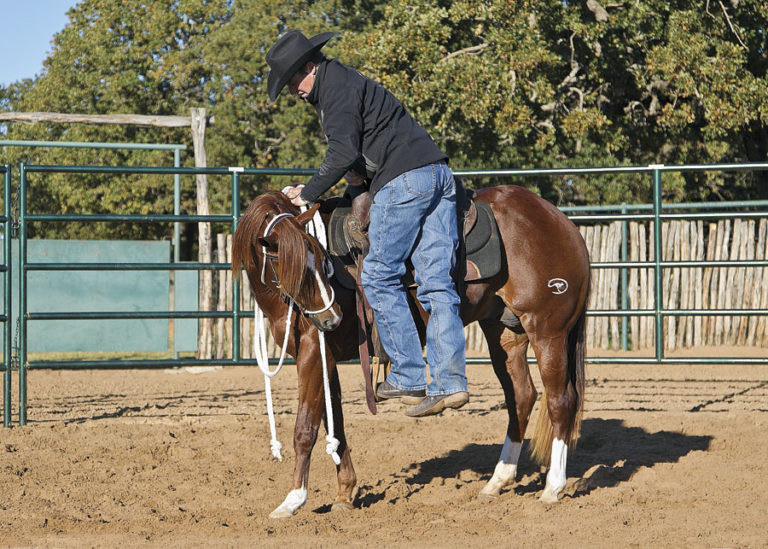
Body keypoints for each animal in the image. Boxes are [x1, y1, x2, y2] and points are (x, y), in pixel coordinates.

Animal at [231, 184, 592, 520]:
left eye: (322, 263)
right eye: (292, 267)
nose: (331, 319)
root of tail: (564, 224)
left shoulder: (312, 354)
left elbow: (305, 429)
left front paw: (292, 501)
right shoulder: (325, 359)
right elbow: (336, 426)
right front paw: (345, 494)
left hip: (547, 332)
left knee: (560, 400)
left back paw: (552, 488)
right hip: (505, 333)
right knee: (521, 397)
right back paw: (496, 482)